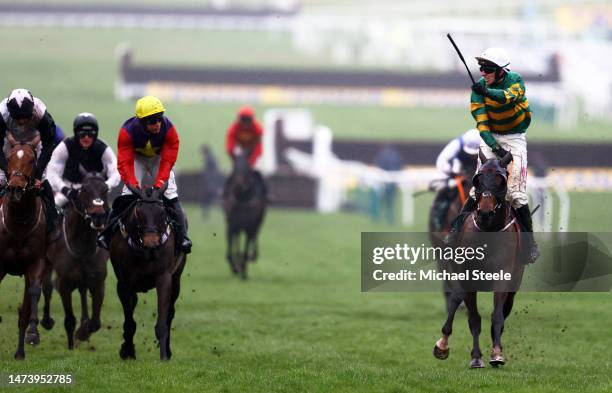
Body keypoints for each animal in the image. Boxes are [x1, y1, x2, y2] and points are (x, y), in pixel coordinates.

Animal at [44, 173, 110, 348]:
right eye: (84, 189)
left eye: (105, 189)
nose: (98, 215)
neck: (82, 248)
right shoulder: (64, 284)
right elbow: (69, 320)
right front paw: (71, 344)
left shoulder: (98, 283)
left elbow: (96, 323)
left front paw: (82, 332)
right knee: (45, 287)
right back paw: (42, 324)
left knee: (82, 291)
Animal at [109, 184, 186, 358]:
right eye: (138, 212)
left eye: (162, 212)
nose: (152, 241)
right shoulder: (124, 282)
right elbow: (129, 321)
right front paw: (127, 351)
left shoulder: (164, 277)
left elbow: (163, 321)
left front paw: (164, 356)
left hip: (176, 279)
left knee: (170, 313)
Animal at [222, 147, 266, 278]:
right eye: (235, 168)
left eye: (246, 168)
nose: (238, 185)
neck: (242, 198)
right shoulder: (231, 225)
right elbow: (230, 250)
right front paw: (235, 268)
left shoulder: (249, 226)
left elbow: (245, 249)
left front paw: (243, 271)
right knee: (237, 242)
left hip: (257, 223)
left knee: (253, 238)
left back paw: (250, 258)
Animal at [432, 150, 524, 368]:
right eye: (478, 180)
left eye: (501, 180)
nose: (484, 212)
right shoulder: (466, 276)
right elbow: (473, 317)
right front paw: (474, 356)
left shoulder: (503, 276)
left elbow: (497, 315)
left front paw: (496, 353)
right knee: (455, 297)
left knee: (505, 309)